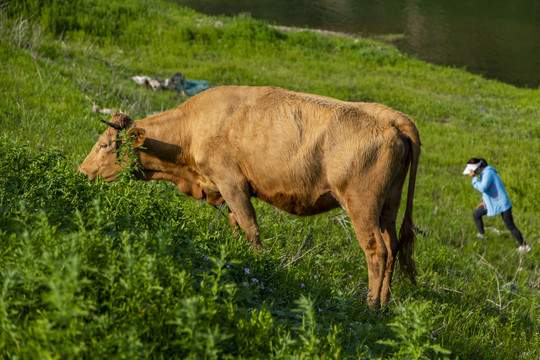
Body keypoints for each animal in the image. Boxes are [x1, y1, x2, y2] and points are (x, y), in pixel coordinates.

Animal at [78, 85, 420, 306]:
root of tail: (392, 118)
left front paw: (258, 269)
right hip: (388, 205)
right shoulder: (229, 191)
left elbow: (252, 231)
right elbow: (237, 228)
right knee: (392, 246)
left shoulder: (232, 184)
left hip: (362, 206)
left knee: (377, 251)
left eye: (105, 145)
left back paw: (370, 305)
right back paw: (385, 304)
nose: (82, 171)